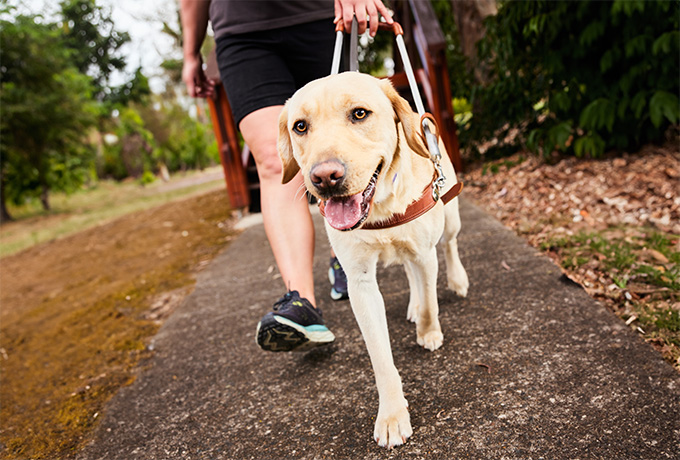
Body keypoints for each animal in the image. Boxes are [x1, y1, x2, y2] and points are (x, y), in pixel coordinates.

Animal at [276, 73, 468, 450]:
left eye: (359, 114)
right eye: (300, 126)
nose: (325, 177)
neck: (380, 207)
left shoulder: (425, 252)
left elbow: (431, 304)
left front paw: (429, 332)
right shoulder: (360, 282)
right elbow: (380, 357)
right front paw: (392, 415)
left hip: (449, 211)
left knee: (449, 245)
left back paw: (456, 280)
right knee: (411, 275)